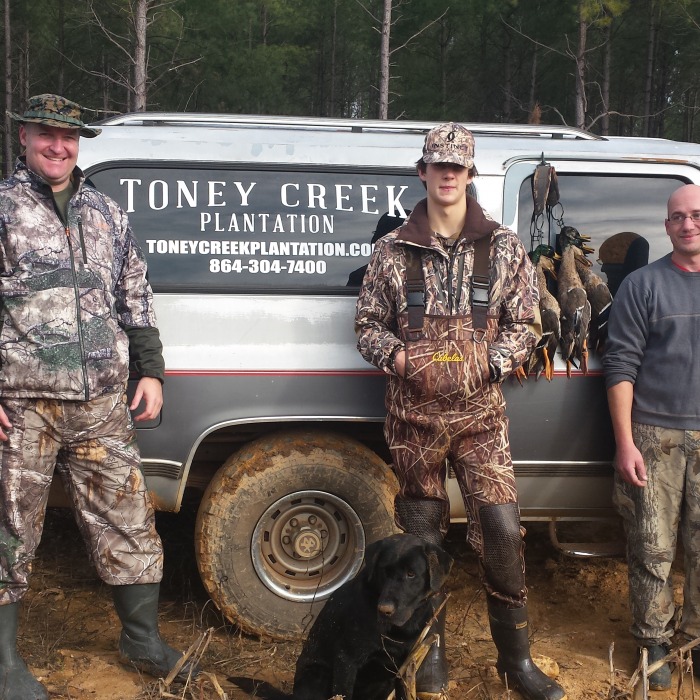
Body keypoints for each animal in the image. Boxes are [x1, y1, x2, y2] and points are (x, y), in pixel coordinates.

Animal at [229, 532, 453, 700]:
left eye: (411, 574)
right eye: (384, 571)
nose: (384, 609)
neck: (396, 630)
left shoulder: (406, 667)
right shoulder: (346, 660)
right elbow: (343, 693)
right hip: (316, 676)